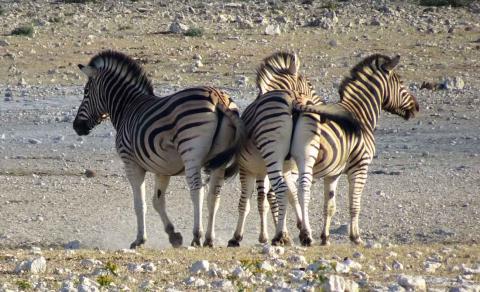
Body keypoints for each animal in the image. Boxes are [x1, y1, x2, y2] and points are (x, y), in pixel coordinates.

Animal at [73, 50, 246, 249]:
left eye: (86, 92)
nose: (76, 127)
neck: (128, 107)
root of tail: (218, 98)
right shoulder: (162, 169)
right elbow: (157, 201)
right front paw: (173, 235)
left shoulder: (131, 163)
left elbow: (140, 204)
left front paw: (140, 239)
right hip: (219, 160)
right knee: (214, 196)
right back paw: (209, 239)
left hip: (191, 153)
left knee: (197, 191)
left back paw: (197, 236)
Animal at [227, 52, 358, 246]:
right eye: (309, 85)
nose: (323, 111)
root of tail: (295, 101)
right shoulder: (281, 169)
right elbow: (287, 195)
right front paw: (298, 228)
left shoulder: (249, 169)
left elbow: (248, 201)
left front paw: (237, 237)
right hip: (306, 153)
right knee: (303, 188)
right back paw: (305, 235)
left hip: (272, 153)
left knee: (280, 189)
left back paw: (279, 236)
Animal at [288, 53, 420, 245]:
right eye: (401, 83)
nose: (417, 107)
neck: (360, 115)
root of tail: (298, 108)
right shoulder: (360, 167)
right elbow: (355, 205)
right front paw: (356, 237)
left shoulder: (333, 173)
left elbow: (330, 206)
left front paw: (325, 238)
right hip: (304, 160)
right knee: (300, 190)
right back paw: (305, 234)